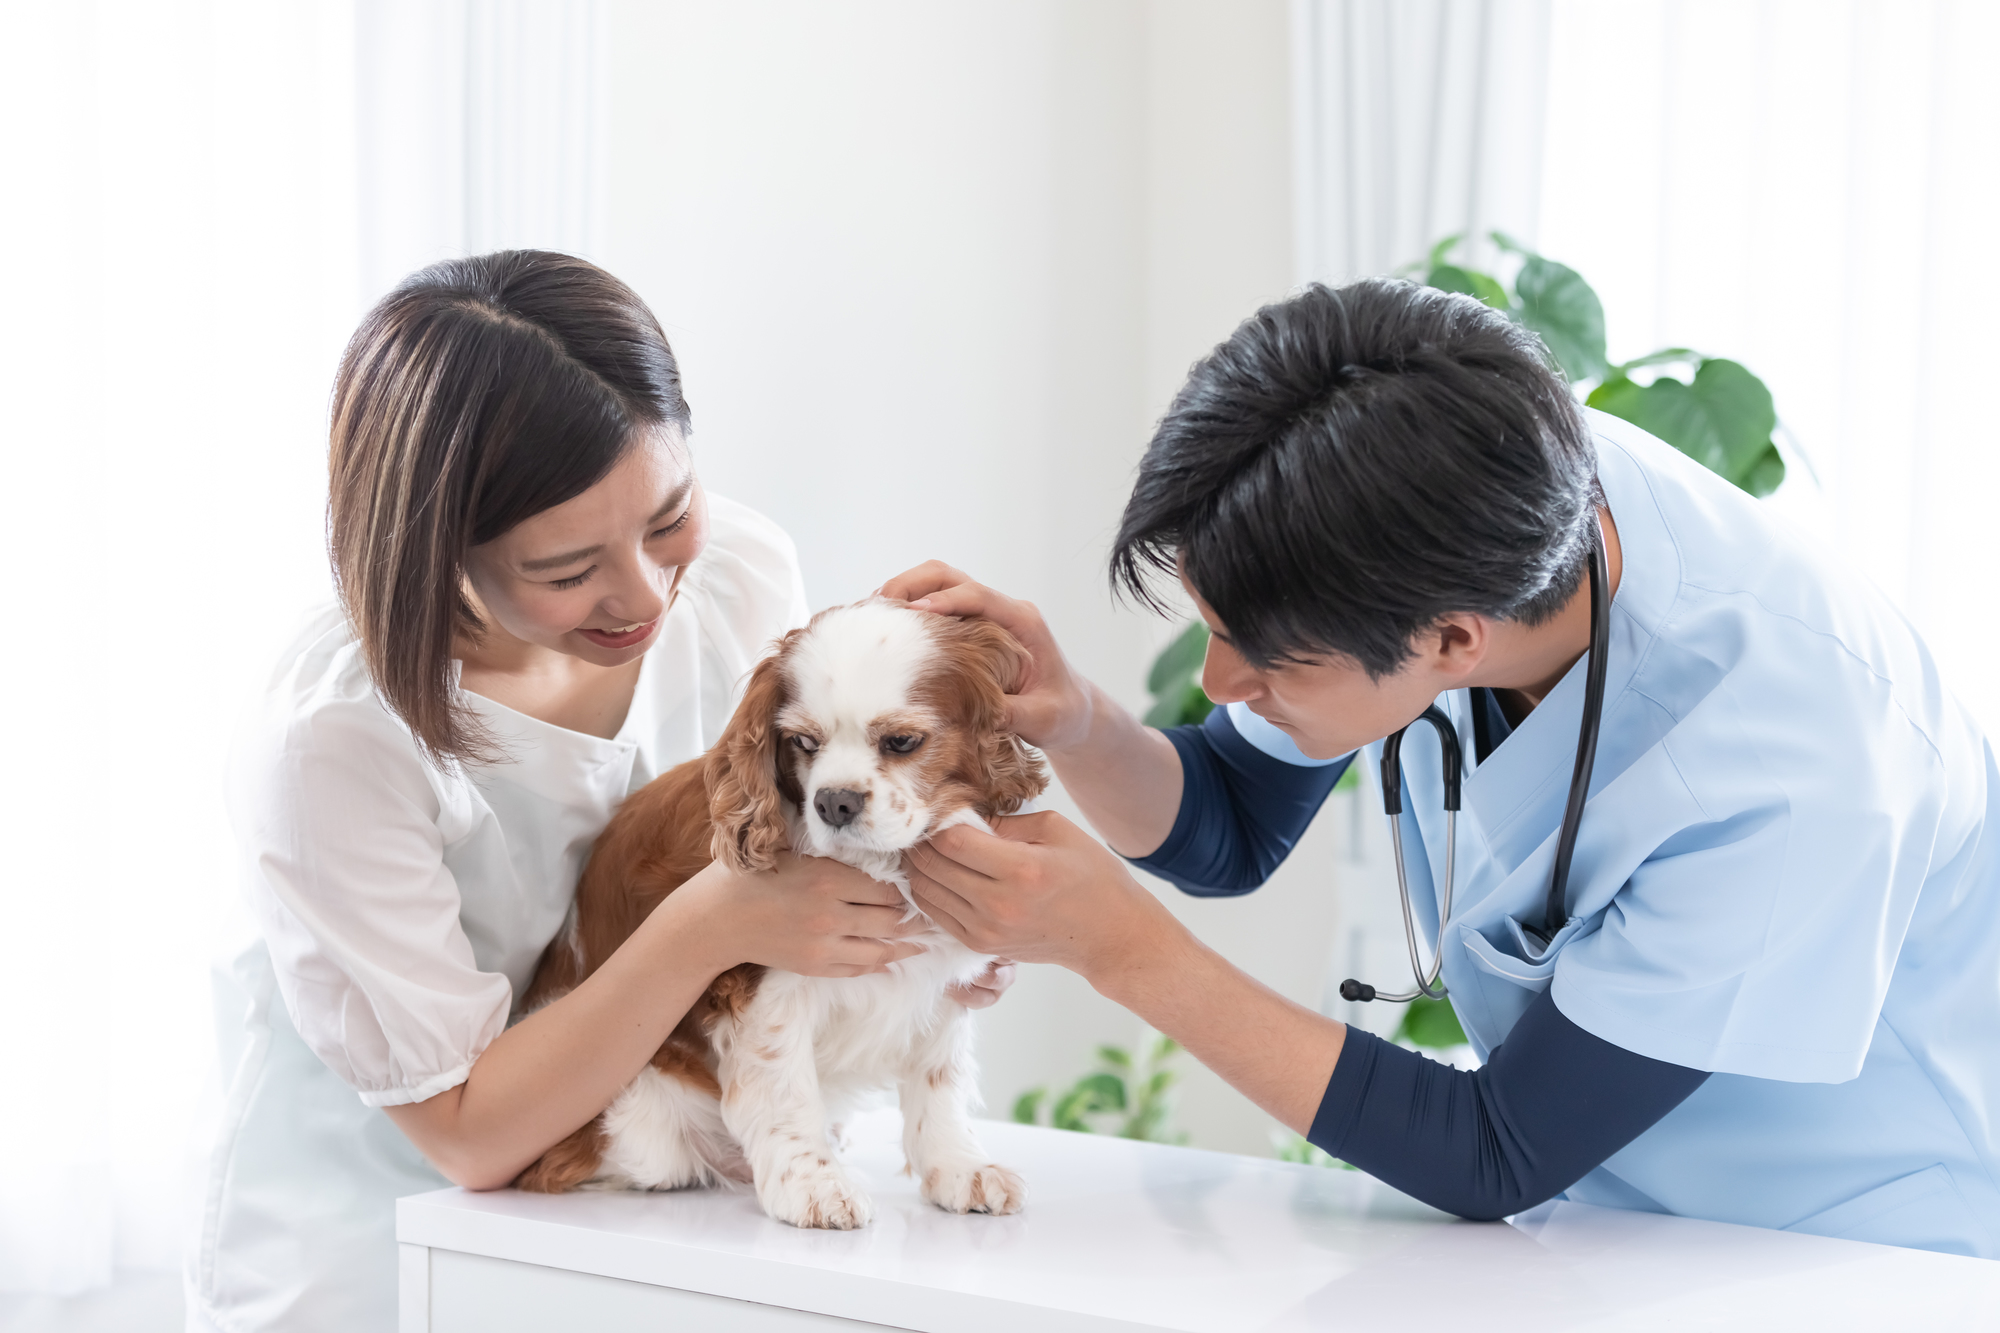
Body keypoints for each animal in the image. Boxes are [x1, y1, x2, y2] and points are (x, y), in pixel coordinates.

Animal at [512, 600, 1048, 1224]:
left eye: (901, 742)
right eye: (803, 742)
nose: (834, 802)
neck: (882, 863)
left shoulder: (944, 977)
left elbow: (940, 1080)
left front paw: (959, 1169)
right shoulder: (769, 988)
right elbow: (785, 1088)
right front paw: (814, 1184)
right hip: (639, 1130)